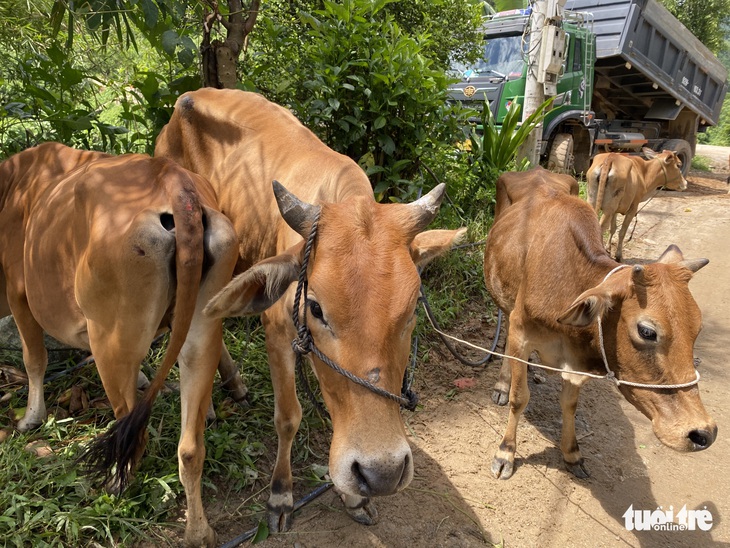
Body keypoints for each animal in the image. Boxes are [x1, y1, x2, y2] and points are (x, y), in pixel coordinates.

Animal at [0, 143, 237, 544]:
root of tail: (173, 179)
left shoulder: (19, 294)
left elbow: (35, 359)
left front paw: (31, 417)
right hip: (201, 330)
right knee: (190, 448)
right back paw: (197, 531)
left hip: (109, 340)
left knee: (131, 434)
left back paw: (114, 489)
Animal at [151, 88, 464, 540]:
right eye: (315, 307)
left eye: (410, 312)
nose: (383, 473)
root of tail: (187, 99)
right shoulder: (279, 331)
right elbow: (288, 417)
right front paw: (281, 495)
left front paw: (353, 496)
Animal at [480, 166, 712, 480]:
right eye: (647, 331)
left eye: (697, 329)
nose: (702, 433)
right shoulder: (521, 330)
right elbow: (520, 398)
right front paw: (505, 452)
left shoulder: (575, 360)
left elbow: (570, 404)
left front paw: (572, 453)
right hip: (505, 304)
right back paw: (503, 384)